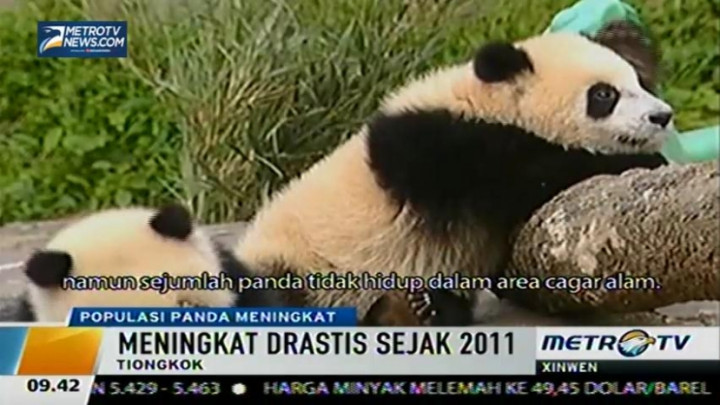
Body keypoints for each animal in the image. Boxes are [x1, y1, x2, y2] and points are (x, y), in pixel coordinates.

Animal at [234, 28, 674, 326]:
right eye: (603, 95)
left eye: (638, 81)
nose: (662, 116)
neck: (485, 101)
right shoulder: (440, 149)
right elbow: (521, 178)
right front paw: (645, 159)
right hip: (300, 262)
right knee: (274, 295)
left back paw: (412, 310)